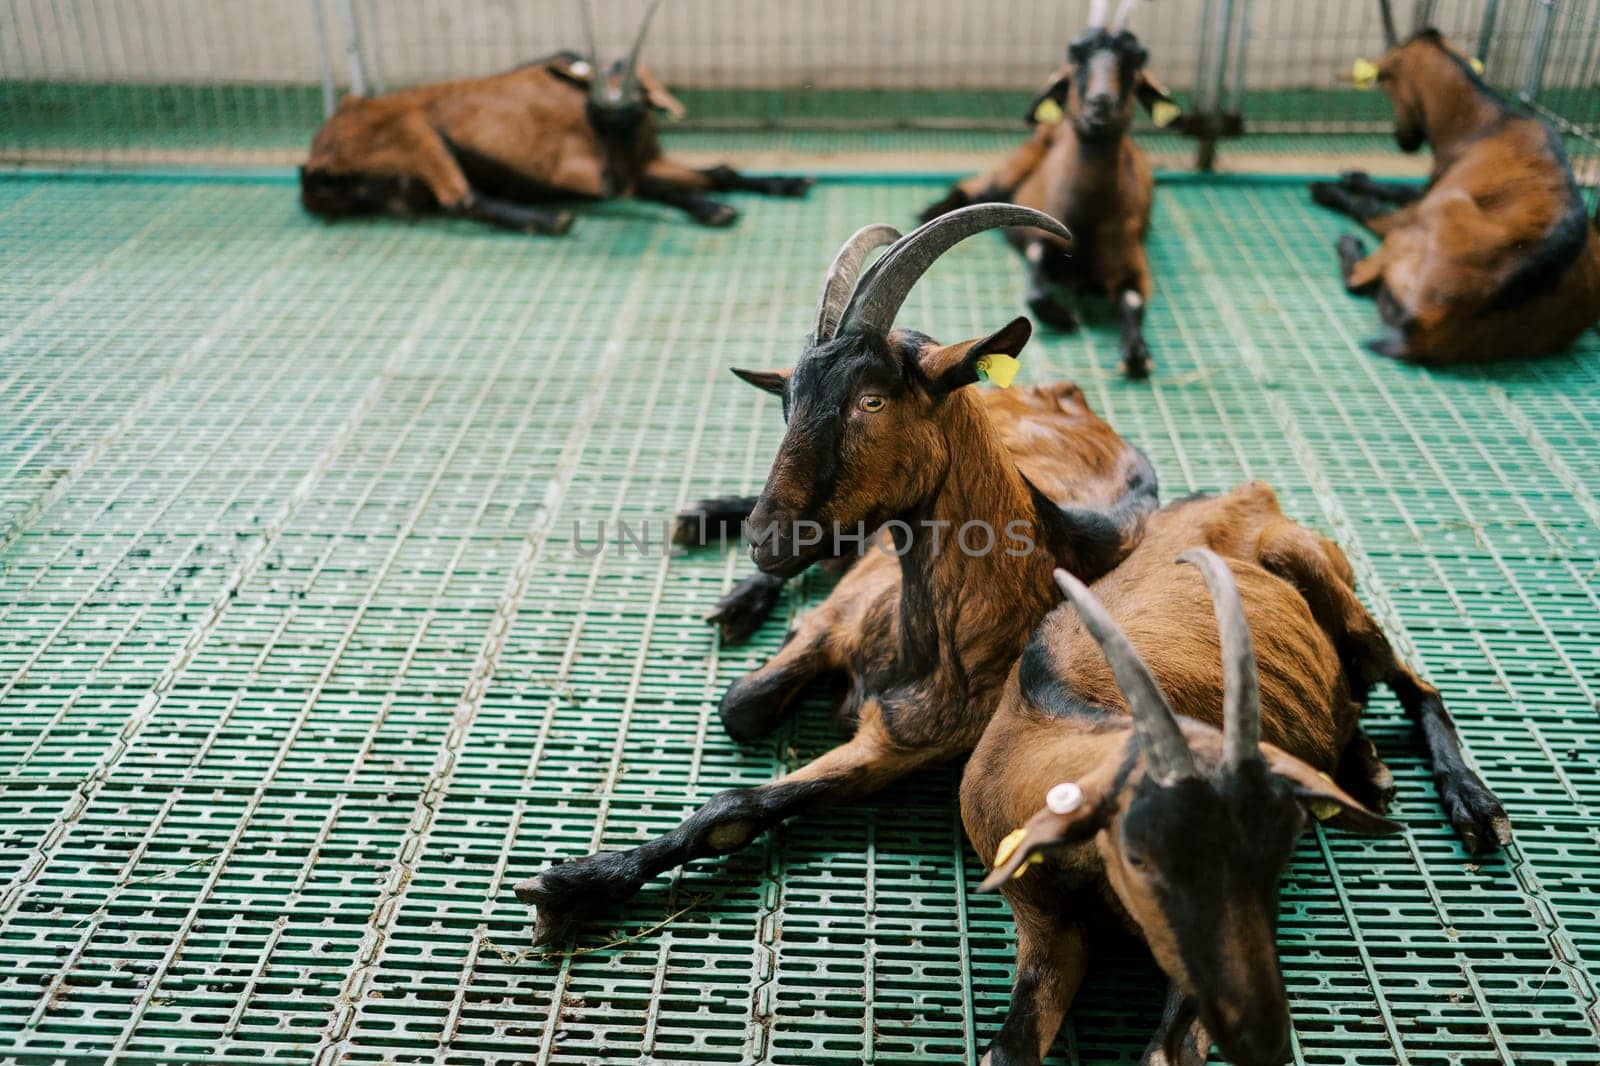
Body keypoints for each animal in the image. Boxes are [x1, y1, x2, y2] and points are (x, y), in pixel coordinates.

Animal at [297, 2, 812, 235]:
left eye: (639, 95)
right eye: (597, 113)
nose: (610, 108)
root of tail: (315, 161)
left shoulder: (647, 159)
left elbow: (719, 169)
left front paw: (788, 182)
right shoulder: (581, 169)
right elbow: (646, 186)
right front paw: (714, 209)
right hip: (419, 134)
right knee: (461, 198)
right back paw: (552, 219)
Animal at [518, 203, 1158, 941]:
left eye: (872, 401)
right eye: (786, 401)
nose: (764, 538)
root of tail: (1066, 392)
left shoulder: (894, 749)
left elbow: (736, 806)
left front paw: (573, 885)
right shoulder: (838, 616)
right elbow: (741, 704)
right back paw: (716, 542)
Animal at [915, 0, 1177, 377]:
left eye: (1137, 60)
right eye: (1076, 55)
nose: (1101, 104)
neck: (1089, 218)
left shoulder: (1131, 257)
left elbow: (1131, 300)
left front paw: (1136, 353)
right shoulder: (1039, 226)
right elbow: (1036, 280)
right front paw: (1064, 318)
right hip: (1010, 170)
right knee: (972, 188)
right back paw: (932, 212)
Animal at [960, 486, 1510, 1062]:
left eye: (1275, 860)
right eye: (1141, 858)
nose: (1264, 1034)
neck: (1048, 710)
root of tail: (1245, 491)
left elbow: (1165, 1051)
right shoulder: (1047, 923)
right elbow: (1010, 1047)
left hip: (1321, 576)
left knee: (1413, 684)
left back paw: (1473, 806)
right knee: (1353, 697)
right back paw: (1367, 764)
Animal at [1312, 24, 1600, 363]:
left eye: (1387, 86)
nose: (1403, 143)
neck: (1489, 121)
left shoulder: (1428, 199)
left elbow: (1380, 208)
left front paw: (1335, 188)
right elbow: (1403, 187)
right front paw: (1354, 177)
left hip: (1440, 207)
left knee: (1360, 273)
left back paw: (1345, 234)